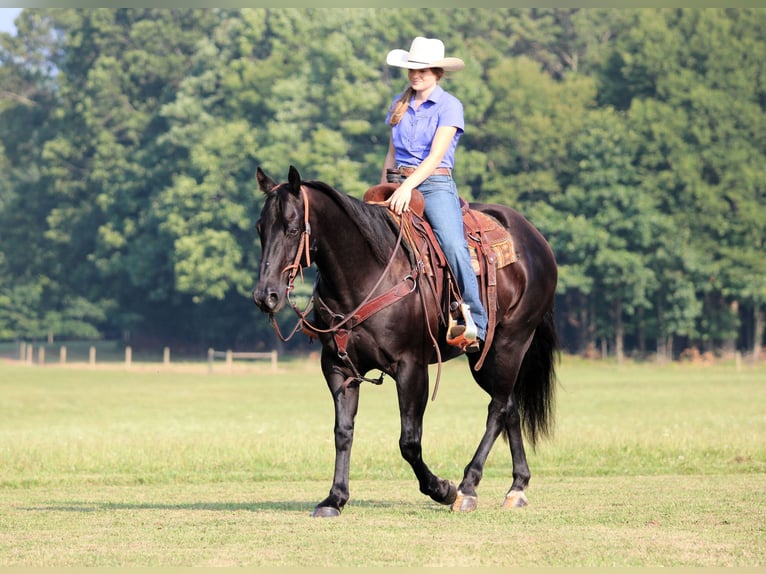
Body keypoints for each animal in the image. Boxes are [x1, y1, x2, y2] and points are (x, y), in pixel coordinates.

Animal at [252, 166, 558, 517]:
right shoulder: (338, 368)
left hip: (510, 344)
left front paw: (442, 489)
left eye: (291, 228)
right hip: (484, 357)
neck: (366, 274)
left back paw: (467, 487)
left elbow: (409, 441)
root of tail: (535, 240)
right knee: (509, 406)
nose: (265, 295)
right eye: (260, 228)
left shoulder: (411, 367)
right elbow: (343, 432)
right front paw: (335, 498)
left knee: (497, 409)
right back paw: (517, 486)